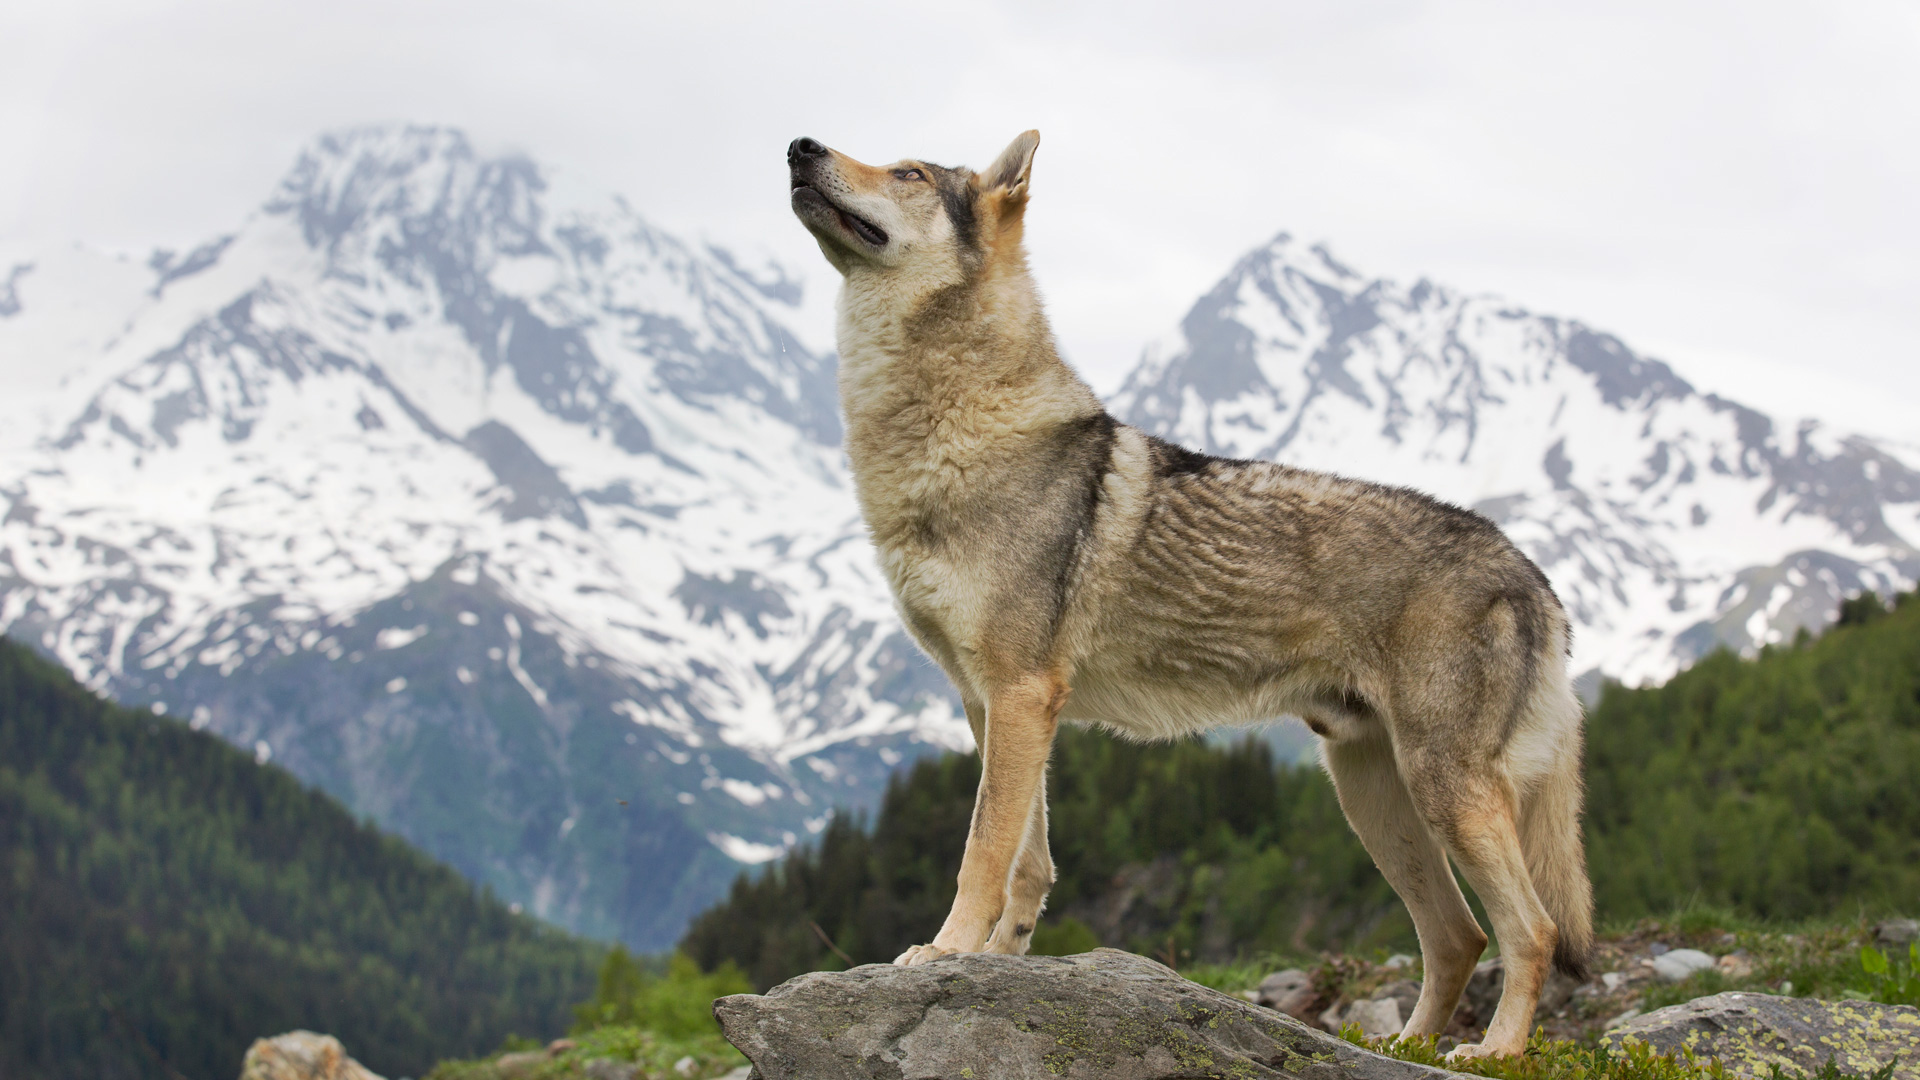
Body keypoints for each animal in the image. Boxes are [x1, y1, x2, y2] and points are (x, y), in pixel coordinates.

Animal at [787, 127, 1597, 1053]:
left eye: (909, 173)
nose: (799, 145)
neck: (948, 437)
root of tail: (1536, 577)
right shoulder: (992, 704)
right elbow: (1030, 860)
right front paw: (999, 960)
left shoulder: (1021, 694)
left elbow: (983, 850)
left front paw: (947, 952)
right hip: (1375, 798)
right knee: (1458, 936)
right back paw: (1407, 1046)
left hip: (1445, 792)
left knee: (1531, 931)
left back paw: (1493, 1051)